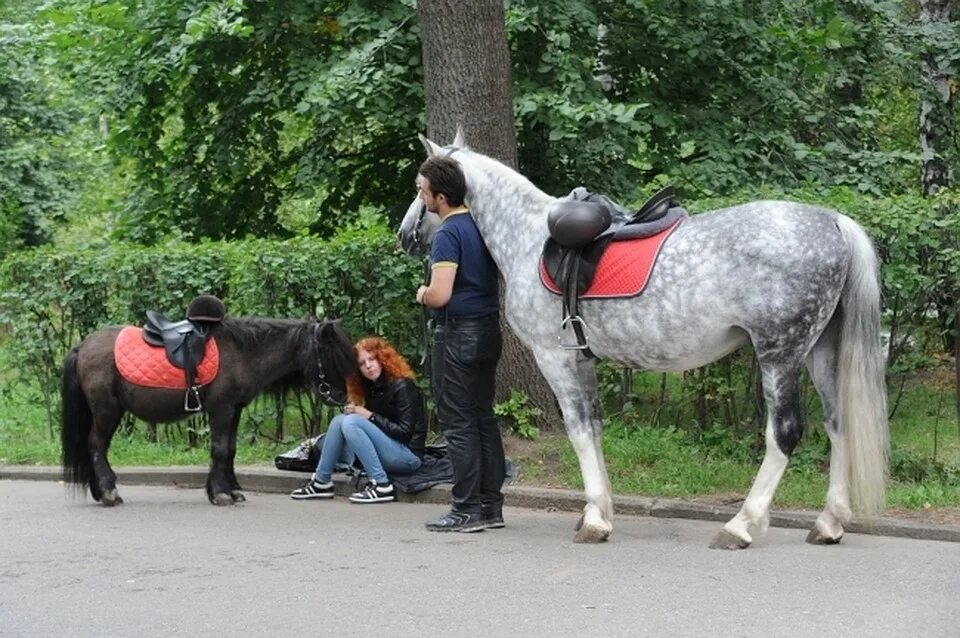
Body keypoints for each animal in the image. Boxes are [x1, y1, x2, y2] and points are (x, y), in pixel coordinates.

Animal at [62, 318, 356, 508]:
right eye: (328, 351)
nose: (342, 398)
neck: (241, 352)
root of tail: (82, 346)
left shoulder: (234, 409)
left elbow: (230, 449)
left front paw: (231, 490)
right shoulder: (221, 409)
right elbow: (220, 449)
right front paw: (221, 493)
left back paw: (101, 492)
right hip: (107, 410)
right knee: (96, 445)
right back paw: (108, 492)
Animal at [398, 131, 884, 552]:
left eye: (420, 186)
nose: (404, 234)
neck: (528, 238)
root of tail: (833, 221)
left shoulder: (554, 358)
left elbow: (577, 430)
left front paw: (595, 519)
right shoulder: (582, 359)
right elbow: (594, 427)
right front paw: (600, 509)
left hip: (779, 354)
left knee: (784, 433)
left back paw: (742, 525)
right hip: (819, 352)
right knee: (837, 423)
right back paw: (829, 522)